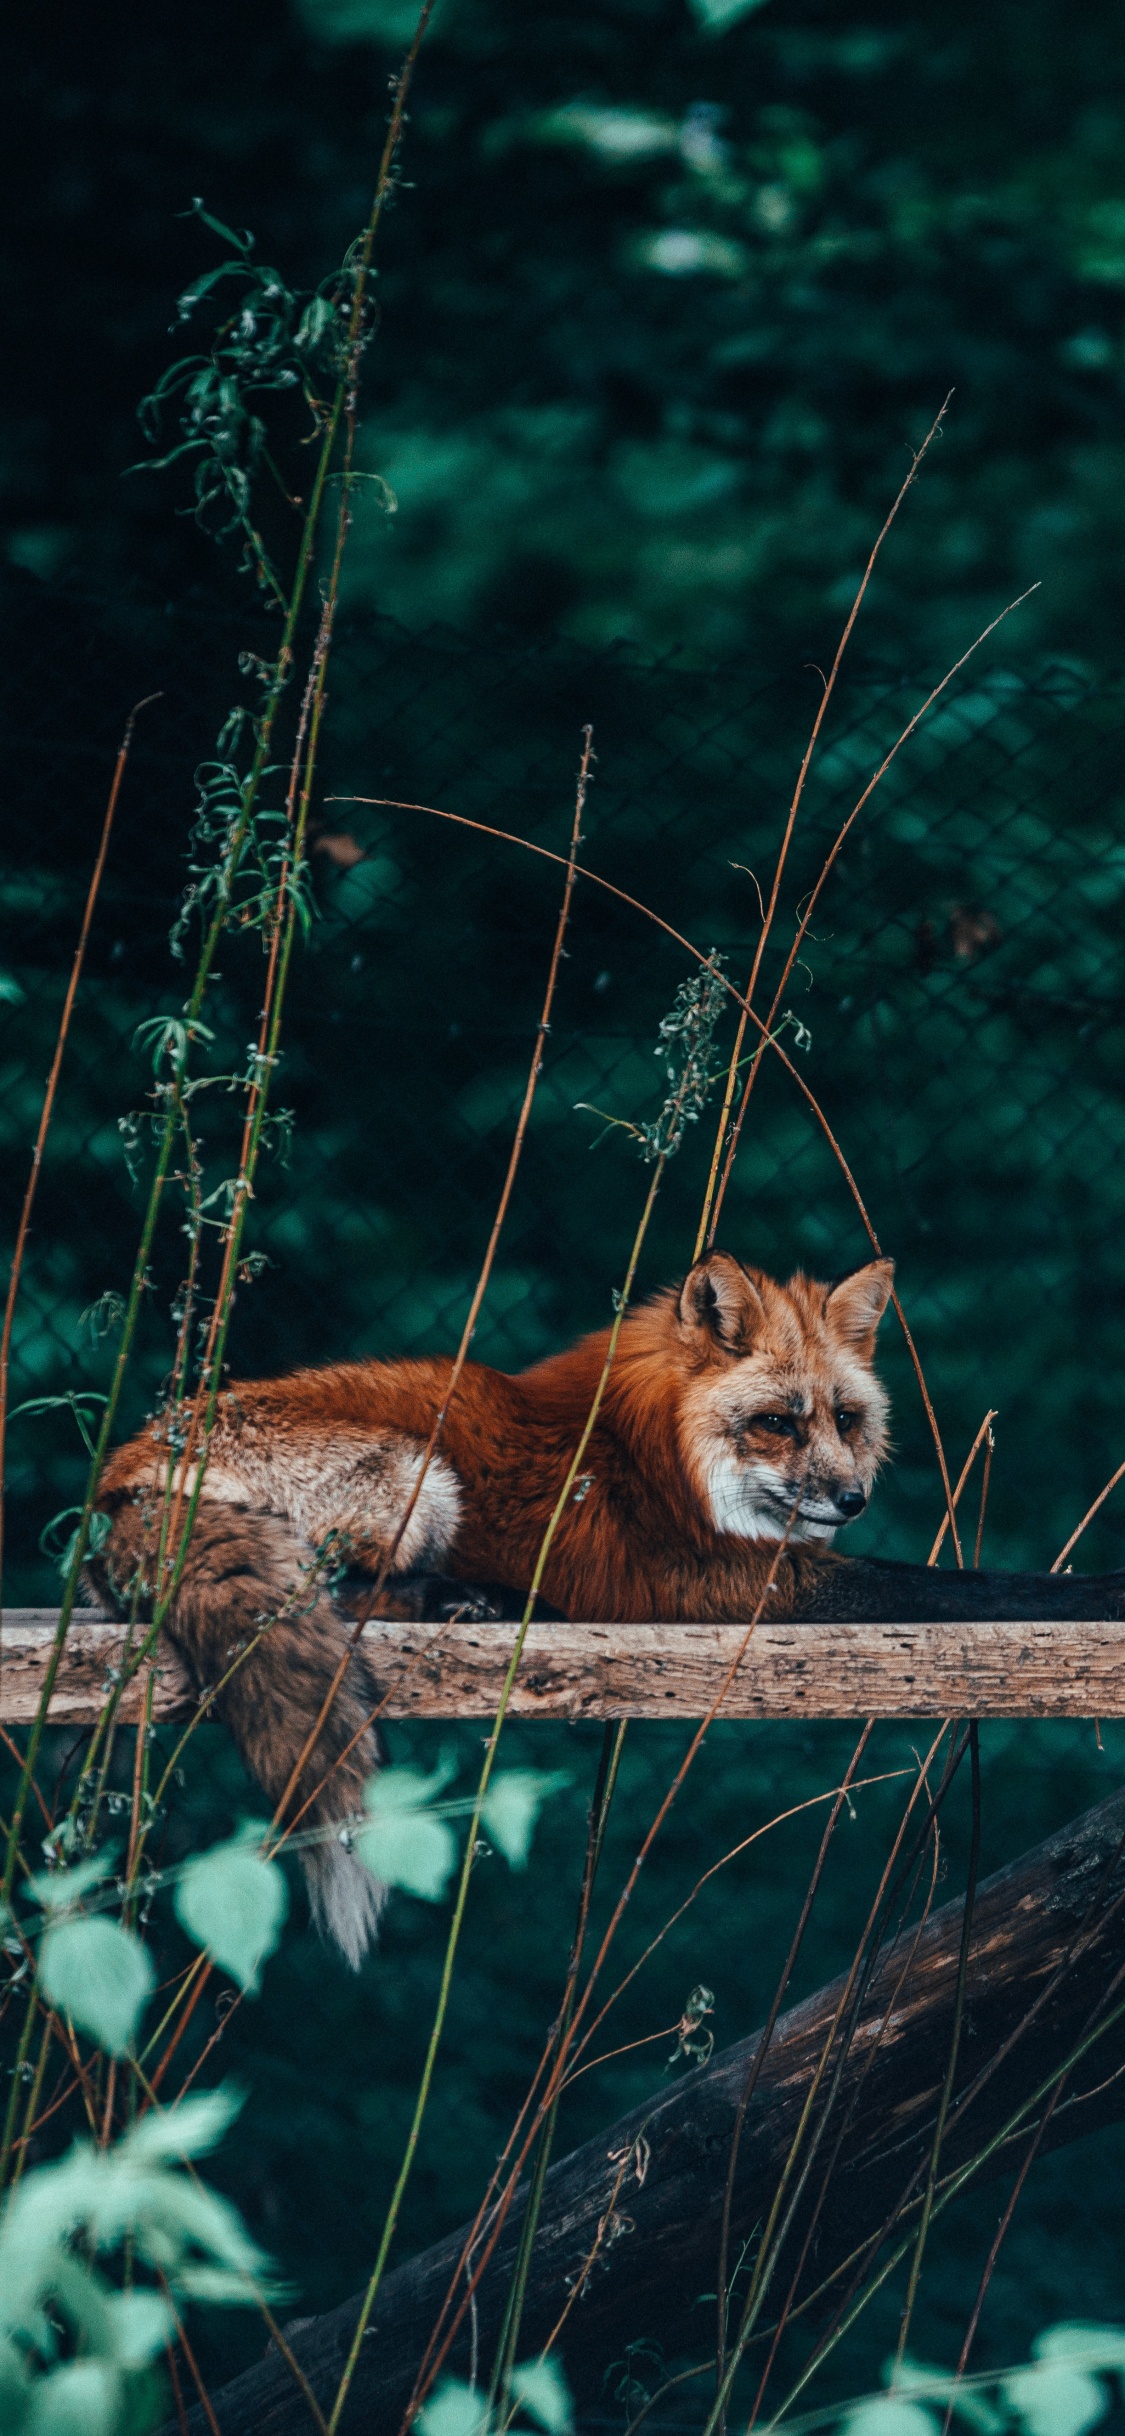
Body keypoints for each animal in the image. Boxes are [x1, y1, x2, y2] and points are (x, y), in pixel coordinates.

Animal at [90, 1249, 1125, 1964]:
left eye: (845, 1419)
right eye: (775, 1423)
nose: (852, 1499)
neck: (655, 1451)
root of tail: (119, 1482)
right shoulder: (738, 1587)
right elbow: (975, 1584)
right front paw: (1100, 1590)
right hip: (419, 1482)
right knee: (346, 1597)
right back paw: (484, 1599)